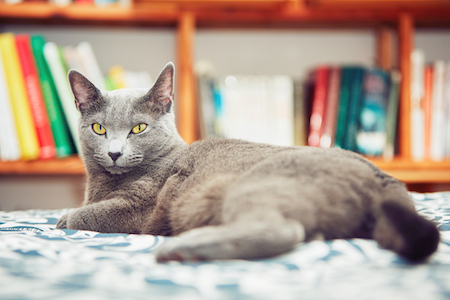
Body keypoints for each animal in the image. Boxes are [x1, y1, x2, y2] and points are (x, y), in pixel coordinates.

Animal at [56, 61, 440, 262]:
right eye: (99, 128)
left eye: (138, 128)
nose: (114, 152)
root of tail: (384, 177)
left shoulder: (139, 207)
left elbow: (86, 215)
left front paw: (64, 218)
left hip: (256, 183)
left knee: (283, 229)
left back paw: (181, 246)